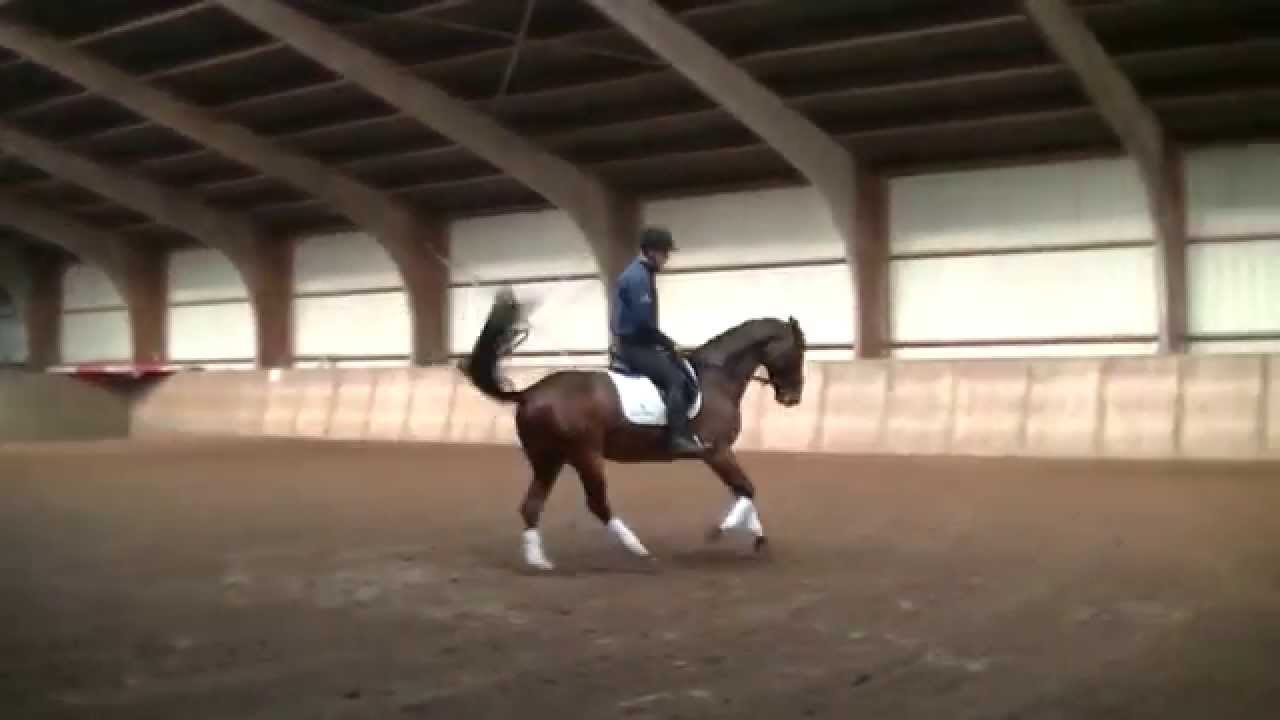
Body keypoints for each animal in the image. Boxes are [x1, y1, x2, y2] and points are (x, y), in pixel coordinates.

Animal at [460, 287, 807, 571]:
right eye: (798, 351)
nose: (792, 398)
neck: (716, 379)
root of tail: (530, 392)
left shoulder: (719, 452)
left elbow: (744, 490)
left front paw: (759, 538)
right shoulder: (717, 451)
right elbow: (747, 489)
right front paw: (720, 531)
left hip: (549, 459)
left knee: (531, 506)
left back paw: (538, 561)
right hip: (585, 454)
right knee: (597, 504)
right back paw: (639, 550)